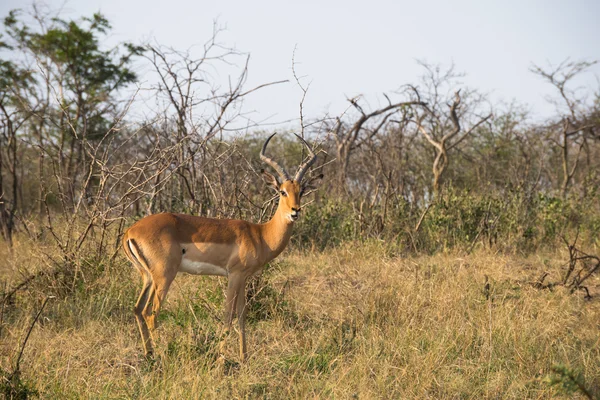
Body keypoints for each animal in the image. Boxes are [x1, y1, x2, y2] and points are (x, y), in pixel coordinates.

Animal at [120, 133, 318, 360]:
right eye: (283, 192)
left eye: (301, 191)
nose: (296, 211)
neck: (260, 234)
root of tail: (130, 231)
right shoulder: (234, 275)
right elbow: (227, 316)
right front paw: (222, 359)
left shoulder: (244, 278)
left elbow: (241, 316)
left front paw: (243, 357)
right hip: (164, 276)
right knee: (150, 314)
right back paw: (164, 355)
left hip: (147, 277)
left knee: (137, 309)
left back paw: (149, 354)